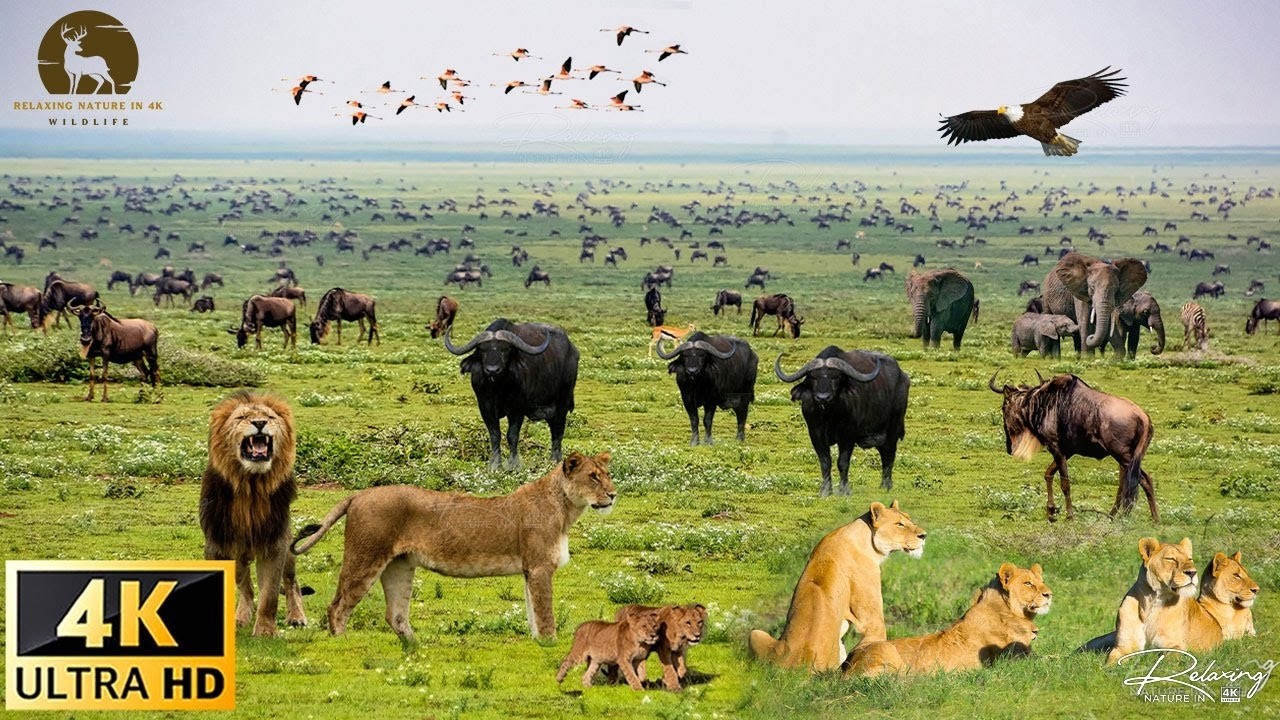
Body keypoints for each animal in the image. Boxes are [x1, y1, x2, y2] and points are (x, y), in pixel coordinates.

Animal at [199, 390, 308, 637]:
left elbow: (269, 595)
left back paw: (297, 616)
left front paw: (266, 631)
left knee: (291, 583)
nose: (259, 423)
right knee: (246, 586)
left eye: (269, 416)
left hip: (288, 549)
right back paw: (241, 617)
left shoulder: (274, 544)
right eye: (242, 417)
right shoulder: (218, 545)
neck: (251, 486)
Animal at [292, 450, 615, 641]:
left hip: (399, 566)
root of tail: (358, 494)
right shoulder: (539, 568)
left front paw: (538, 642)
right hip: (365, 558)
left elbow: (532, 612)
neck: (566, 509)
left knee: (395, 615)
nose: (613, 494)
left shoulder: (530, 570)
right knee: (337, 606)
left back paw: (416, 647)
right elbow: (545, 614)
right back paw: (342, 643)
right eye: (593, 477)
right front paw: (550, 645)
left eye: (608, 474)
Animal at [748, 500, 927, 672]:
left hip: (754, 633)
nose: (924, 535)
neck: (865, 538)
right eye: (899, 524)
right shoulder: (872, 624)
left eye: (909, 518)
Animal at [843, 563, 1051, 677]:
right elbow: (1050, 661)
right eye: (1028, 583)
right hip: (886, 650)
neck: (1010, 613)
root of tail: (845, 668)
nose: (1049, 594)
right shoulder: (1014, 660)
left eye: (1042, 581)